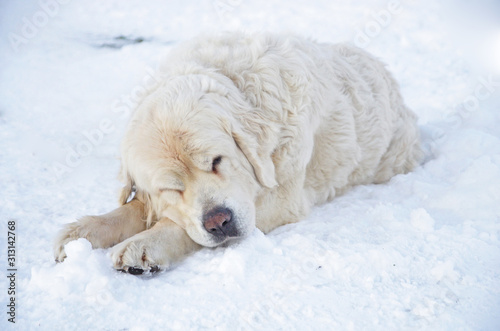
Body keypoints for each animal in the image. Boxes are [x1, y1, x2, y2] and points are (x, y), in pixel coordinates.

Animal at [53, 33, 422, 274]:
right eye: (172, 188)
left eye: (217, 161)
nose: (218, 221)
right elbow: (136, 207)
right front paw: (83, 233)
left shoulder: (279, 198)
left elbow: (177, 224)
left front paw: (144, 244)